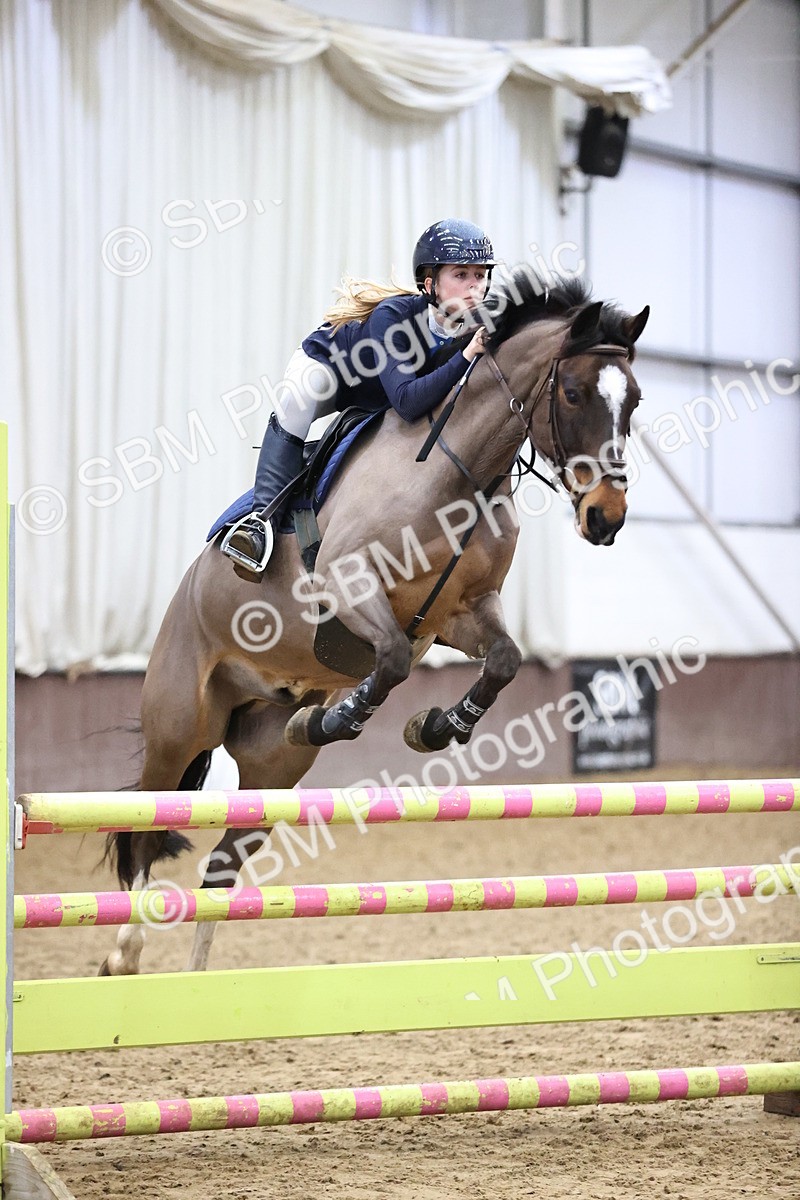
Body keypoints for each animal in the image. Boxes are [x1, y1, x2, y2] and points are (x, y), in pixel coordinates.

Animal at [100, 270, 649, 976]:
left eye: (633, 401)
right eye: (575, 393)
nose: (606, 518)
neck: (461, 470)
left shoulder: (461, 611)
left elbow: (502, 660)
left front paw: (434, 728)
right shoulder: (348, 582)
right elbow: (387, 661)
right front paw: (340, 719)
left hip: (270, 765)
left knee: (220, 867)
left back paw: (192, 982)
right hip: (179, 726)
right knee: (143, 831)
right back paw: (124, 956)